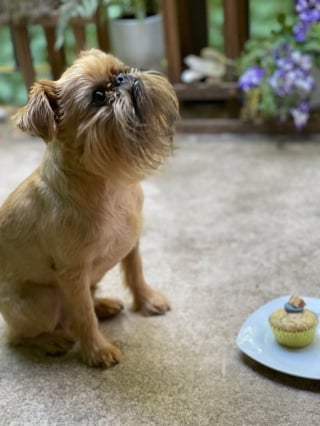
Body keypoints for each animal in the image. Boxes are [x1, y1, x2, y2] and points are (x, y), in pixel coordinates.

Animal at [0, 47, 179, 366]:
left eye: (119, 71)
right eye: (97, 96)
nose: (122, 79)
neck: (107, 180)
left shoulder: (131, 243)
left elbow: (135, 273)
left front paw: (146, 300)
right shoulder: (73, 273)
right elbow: (83, 316)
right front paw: (97, 351)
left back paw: (103, 305)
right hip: (43, 300)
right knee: (19, 337)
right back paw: (53, 340)